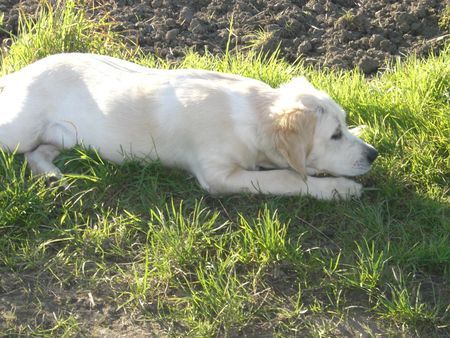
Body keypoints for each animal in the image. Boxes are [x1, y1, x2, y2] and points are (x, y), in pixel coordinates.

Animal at [0, 52, 378, 199]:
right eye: (333, 135)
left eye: (344, 125)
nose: (373, 156)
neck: (254, 113)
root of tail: (19, 73)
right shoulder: (217, 176)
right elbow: (287, 178)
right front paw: (339, 188)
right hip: (18, 130)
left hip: (65, 138)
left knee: (37, 154)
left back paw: (53, 175)